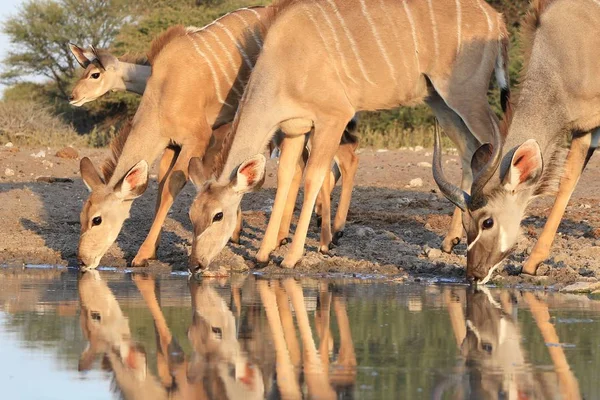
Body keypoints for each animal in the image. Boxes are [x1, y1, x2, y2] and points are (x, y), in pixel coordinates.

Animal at [72, 7, 358, 270]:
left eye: (97, 219)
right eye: (82, 216)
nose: (82, 260)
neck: (163, 86)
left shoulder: (200, 139)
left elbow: (172, 187)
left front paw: (143, 254)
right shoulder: (172, 144)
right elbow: (165, 182)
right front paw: (154, 249)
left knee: (335, 163)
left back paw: (326, 239)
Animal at [185, 0, 508, 270]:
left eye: (218, 215)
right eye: (192, 214)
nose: (195, 264)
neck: (285, 58)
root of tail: (496, 18)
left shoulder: (333, 117)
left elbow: (314, 177)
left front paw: (293, 256)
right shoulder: (295, 129)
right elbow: (285, 177)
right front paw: (263, 254)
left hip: (466, 95)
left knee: (498, 142)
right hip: (438, 100)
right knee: (469, 150)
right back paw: (451, 240)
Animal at [432, 0, 600, 282]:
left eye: (487, 221)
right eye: (466, 224)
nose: (474, 274)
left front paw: (532, 263)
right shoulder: (585, 129)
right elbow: (568, 179)